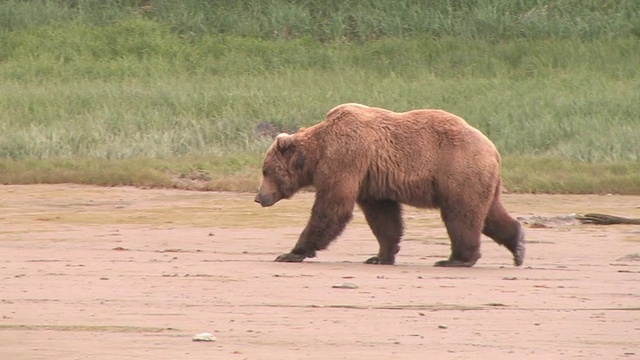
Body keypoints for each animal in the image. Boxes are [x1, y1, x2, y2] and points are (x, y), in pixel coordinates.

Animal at [254, 102, 524, 266]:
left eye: (266, 170)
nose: (259, 197)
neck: (318, 153)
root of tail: (493, 150)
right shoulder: (371, 179)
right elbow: (383, 217)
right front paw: (380, 256)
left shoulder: (347, 159)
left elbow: (332, 206)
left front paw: (291, 252)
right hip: (478, 179)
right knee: (488, 213)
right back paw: (518, 246)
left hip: (458, 171)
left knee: (461, 214)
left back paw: (456, 259)